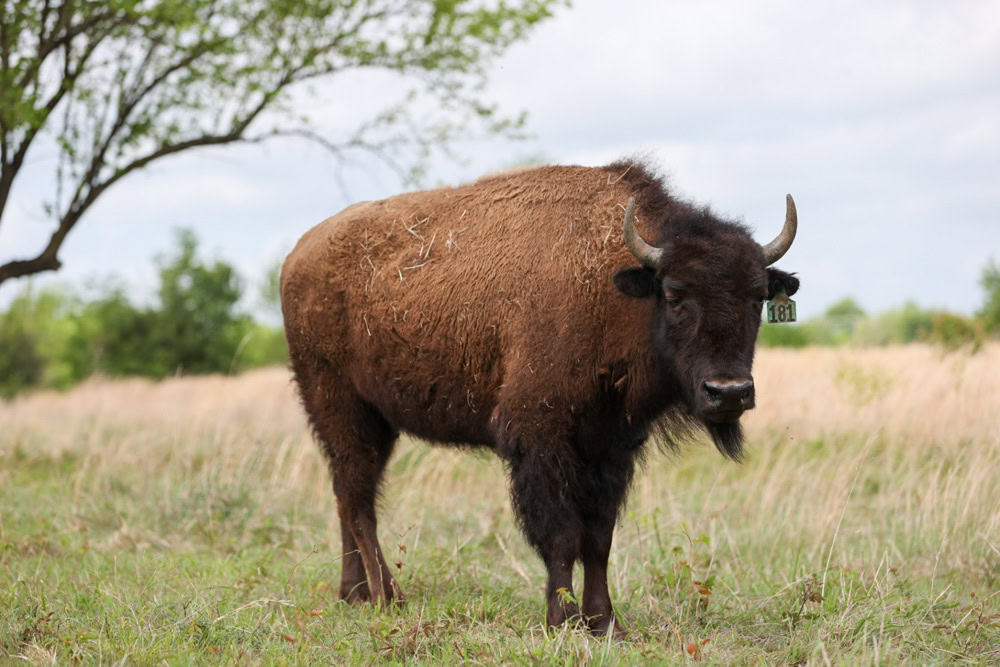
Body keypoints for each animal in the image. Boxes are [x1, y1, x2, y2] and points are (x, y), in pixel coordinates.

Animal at [280, 159, 800, 636]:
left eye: (757, 297)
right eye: (674, 295)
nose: (728, 392)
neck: (611, 288)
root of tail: (297, 256)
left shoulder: (610, 447)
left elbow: (599, 538)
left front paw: (606, 622)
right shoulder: (541, 440)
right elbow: (562, 534)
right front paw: (561, 620)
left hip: (374, 421)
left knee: (348, 496)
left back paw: (353, 594)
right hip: (341, 408)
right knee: (358, 502)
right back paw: (388, 597)